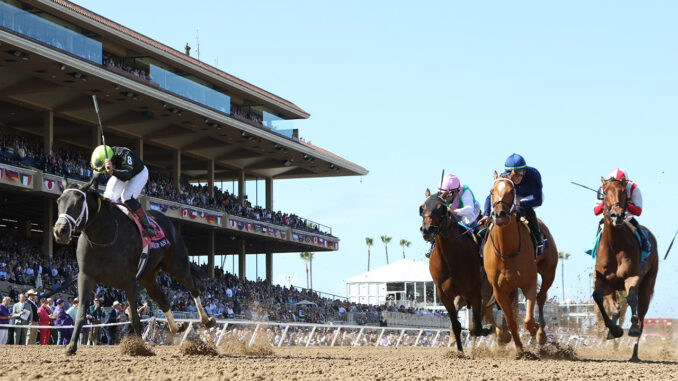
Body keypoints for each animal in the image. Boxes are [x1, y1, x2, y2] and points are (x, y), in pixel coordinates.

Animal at [54, 180, 216, 354]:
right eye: (59, 201)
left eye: (78, 203)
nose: (60, 231)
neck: (104, 237)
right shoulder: (86, 277)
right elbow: (81, 313)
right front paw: (71, 347)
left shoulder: (129, 281)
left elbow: (133, 317)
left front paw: (139, 347)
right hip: (148, 277)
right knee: (163, 299)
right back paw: (177, 327)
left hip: (177, 265)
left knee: (193, 288)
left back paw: (207, 319)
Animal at [422, 191, 492, 352]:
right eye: (422, 208)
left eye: (441, 208)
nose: (427, 229)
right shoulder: (444, 294)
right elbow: (456, 325)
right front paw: (459, 352)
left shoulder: (475, 291)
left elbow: (476, 327)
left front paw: (486, 330)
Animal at [484, 172, 540, 354]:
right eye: (491, 190)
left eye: (511, 191)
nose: (499, 214)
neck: (507, 252)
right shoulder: (499, 290)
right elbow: (510, 321)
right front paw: (519, 349)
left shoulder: (529, 282)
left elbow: (528, 320)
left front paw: (538, 333)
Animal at [596, 177, 660, 360]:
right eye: (605, 192)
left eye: (624, 191)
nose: (617, 215)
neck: (615, 245)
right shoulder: (602, 279)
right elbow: (598, 297)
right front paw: (613, 330)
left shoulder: (632, 277)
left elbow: (631, 299)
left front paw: (632, 328)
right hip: (613, 286)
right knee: (616, 306)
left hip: (647, 284)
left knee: (642, 315)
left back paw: (634, 353)